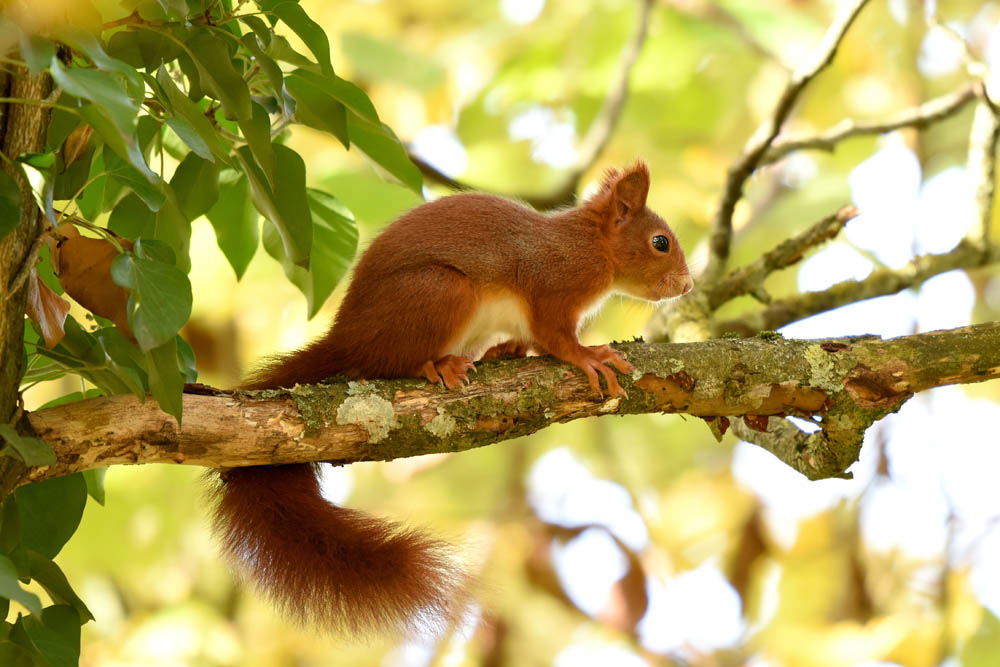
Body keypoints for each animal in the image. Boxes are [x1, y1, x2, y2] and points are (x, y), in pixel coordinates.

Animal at [211, 160, 696, 636]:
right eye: (660, 242)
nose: (689, 286)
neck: (592, 244)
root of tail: (348, 338)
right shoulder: (552, 284)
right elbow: (554, 336)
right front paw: (589, 356)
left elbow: (532, 339)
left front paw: (514, 349)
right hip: (440, 292)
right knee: (391, 363)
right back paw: (436, 365)